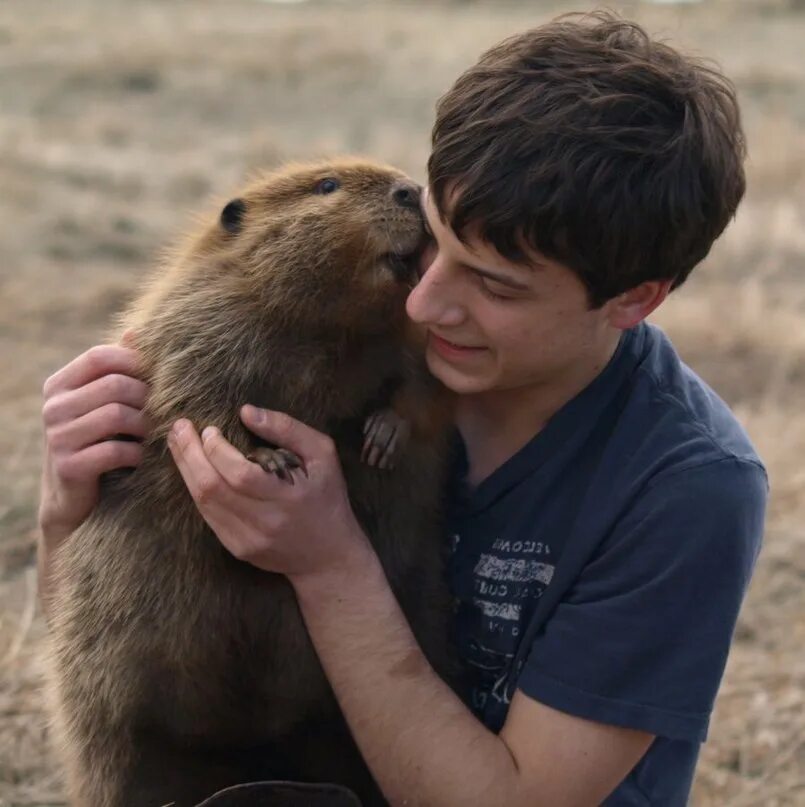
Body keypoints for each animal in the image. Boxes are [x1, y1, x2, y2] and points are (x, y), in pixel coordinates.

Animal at [47, 159, 456, 807]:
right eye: (327, 186)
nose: (409, 191)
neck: (326, 338)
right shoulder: (199, 322)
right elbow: (195, 398)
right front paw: (272, 462)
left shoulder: (415, 331)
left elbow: (426, 387)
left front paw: (382, 437)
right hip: (108, 722)